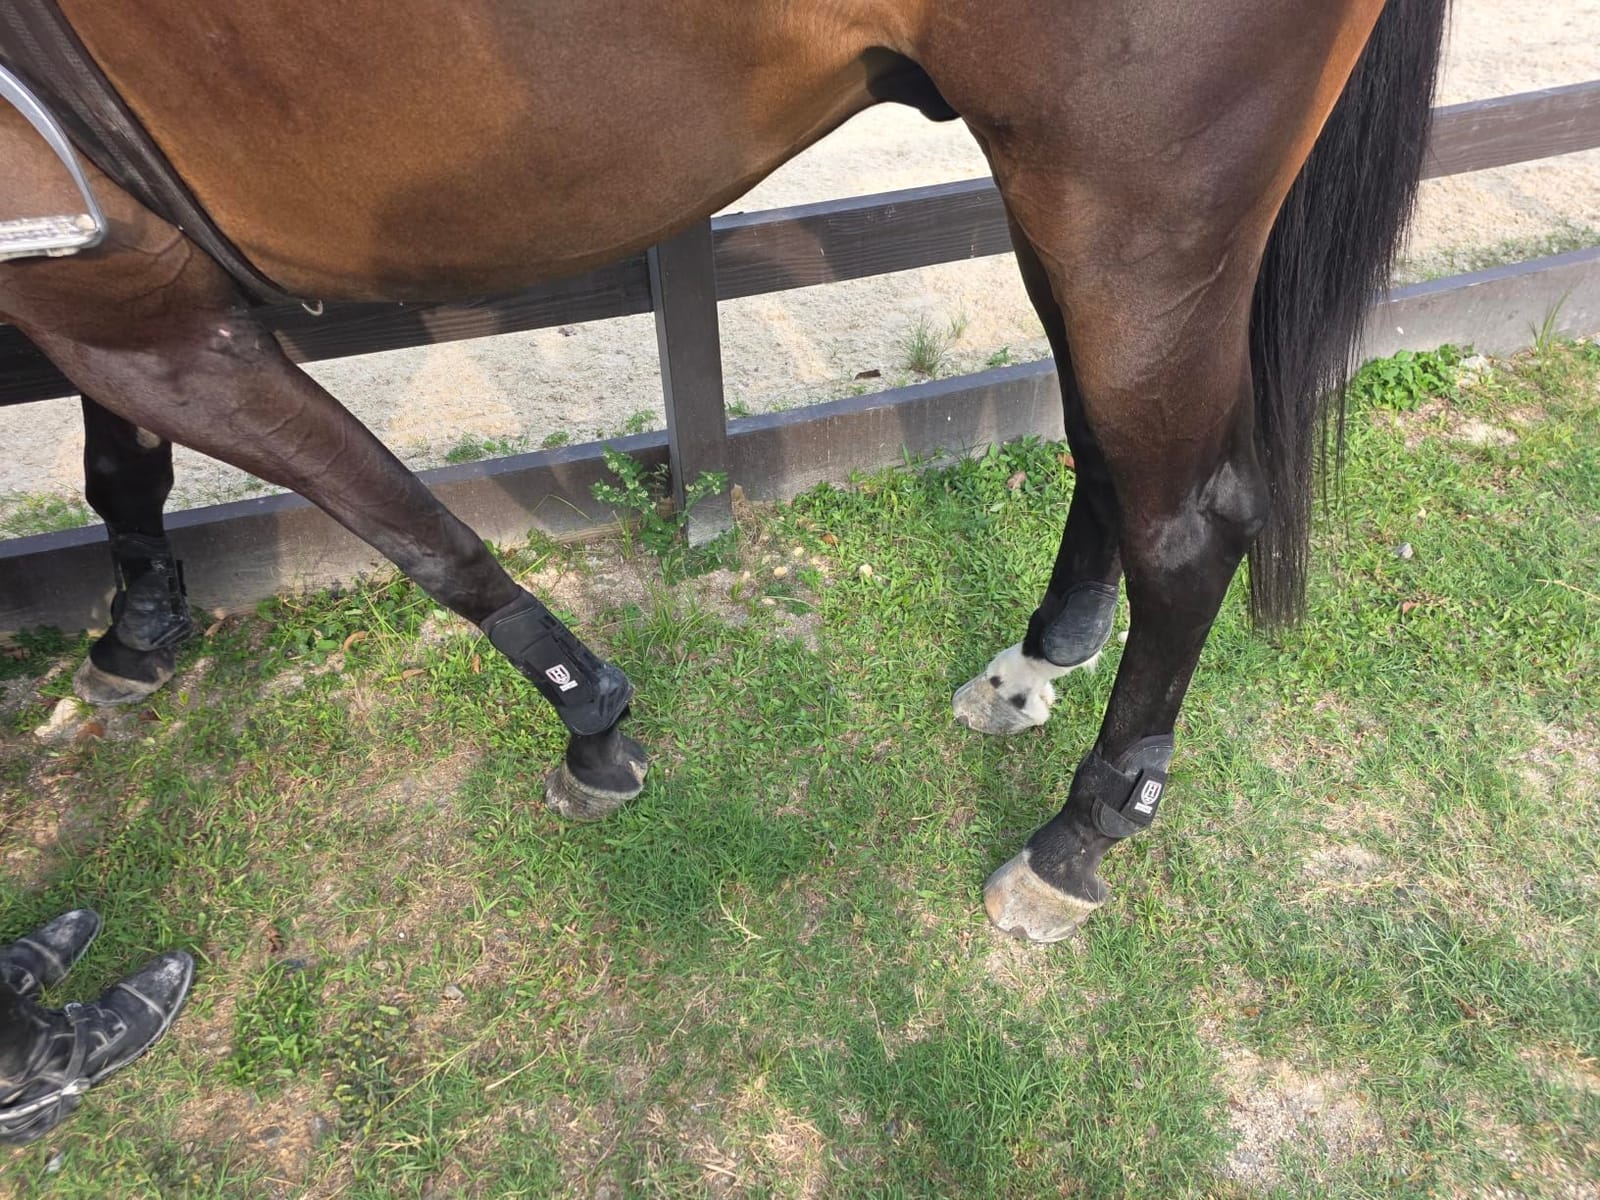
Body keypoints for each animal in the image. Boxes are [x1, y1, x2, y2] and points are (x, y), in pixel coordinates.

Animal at [0, 0, 1448, 942]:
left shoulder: (147, 321)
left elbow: (408, 526)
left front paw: (591, 723)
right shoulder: (113, 308)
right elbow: (122, 472)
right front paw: (136, 632)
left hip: (1136, 207)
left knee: (1191, 527)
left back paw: (1076, 838)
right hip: (1076, 201)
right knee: (1109, 445)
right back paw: (1036, 665)